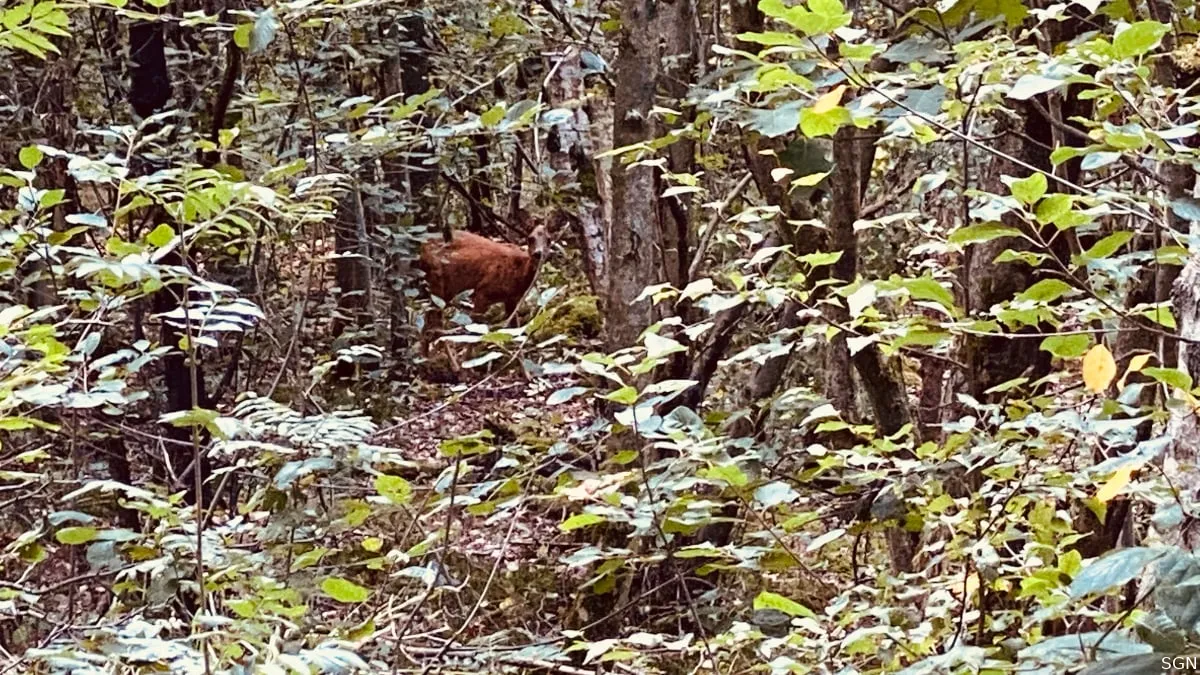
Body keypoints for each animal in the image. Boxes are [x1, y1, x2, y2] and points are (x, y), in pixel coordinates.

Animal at [417, 214, 552, 367]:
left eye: (549, 239)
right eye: (530, 238)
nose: (538, 253)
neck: (519, 273)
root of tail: (422, 248)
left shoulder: (512, 300)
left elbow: (514, 330)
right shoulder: (484, 291)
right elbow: (475, 330)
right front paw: (467, 363)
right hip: (437, 283)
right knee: (432, 324)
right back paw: (431, 360)